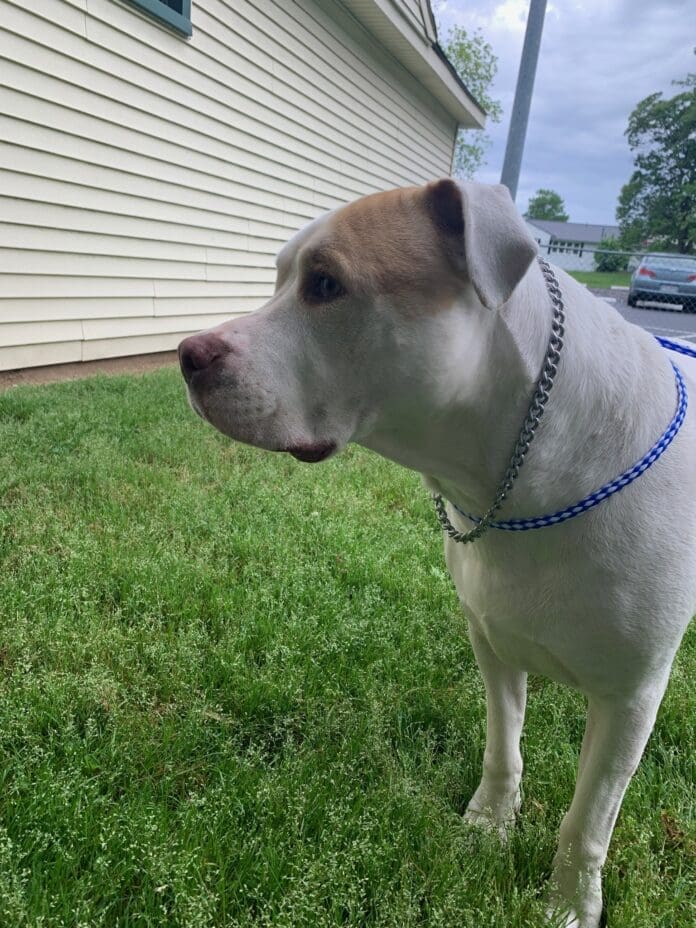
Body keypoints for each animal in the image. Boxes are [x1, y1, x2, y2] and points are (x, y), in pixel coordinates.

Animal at [178, 180, 696, 927]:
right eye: (280, 278)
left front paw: (569, 902)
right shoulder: (493, 640)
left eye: (325, 284)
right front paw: (489, 825)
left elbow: (588, 819)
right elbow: (503, 745)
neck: (521, 478)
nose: (188, 353)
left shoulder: (630, 698)